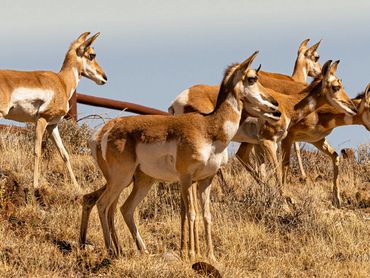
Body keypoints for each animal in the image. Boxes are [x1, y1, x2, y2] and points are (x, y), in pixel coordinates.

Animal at [0, 31, 107, 191]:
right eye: (92, 55)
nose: (105, 77)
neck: (62, 82)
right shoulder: (42, 120)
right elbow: (37, 151)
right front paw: (35, 185)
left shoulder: (52, 126)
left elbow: (64, 154)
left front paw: (77, 187)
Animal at [81, 51, 282, 260]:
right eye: (252, 78)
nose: (275, 104)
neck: (209, 127)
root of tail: (104, 132)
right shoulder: (186, 178)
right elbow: (191, 213)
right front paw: (192, 254)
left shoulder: (206, 179)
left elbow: (206, 215)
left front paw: (210, 256)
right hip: (122, 178)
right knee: (103, 205)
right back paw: (111, 251)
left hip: (141, 181)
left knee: (124, 208)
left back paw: (139, 251)